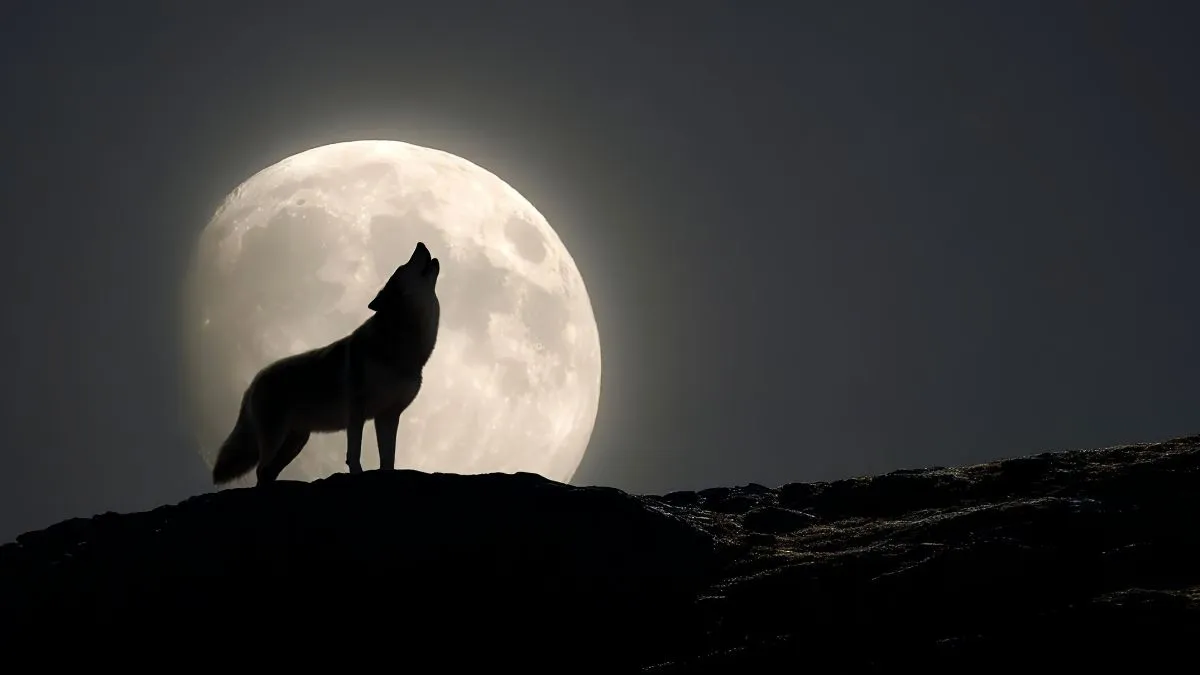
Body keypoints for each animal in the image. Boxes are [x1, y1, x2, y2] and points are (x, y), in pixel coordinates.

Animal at [211, 241, 441, 486]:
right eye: (402, 267)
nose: (420, 243)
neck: (401, 343)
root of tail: (254, 381)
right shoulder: (356, 412)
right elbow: (354, 454)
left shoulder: (388, 416)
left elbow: (388, 460)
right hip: (277, 438)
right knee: (261, 471)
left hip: (296, 442)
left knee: (269, 472)